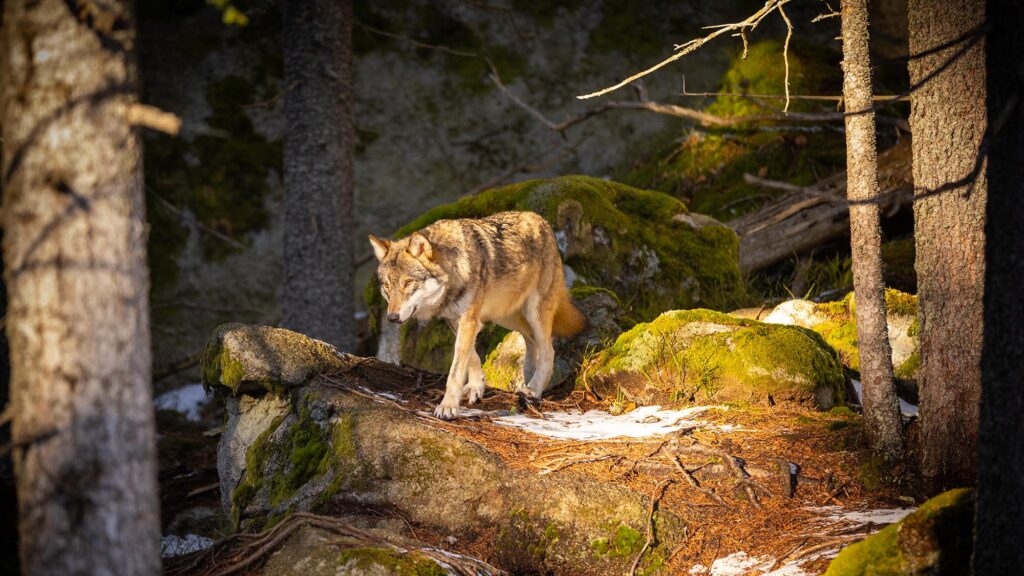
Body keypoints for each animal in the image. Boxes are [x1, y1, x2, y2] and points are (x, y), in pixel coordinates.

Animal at [370, 211, 586, 419]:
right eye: (387, 286)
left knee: (549, 351)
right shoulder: (456, 320)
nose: (392, 318)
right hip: (506, 316)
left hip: (533, 313)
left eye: (407, 283)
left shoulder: (469, 320)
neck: (453, 270)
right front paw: (476, 387)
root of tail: (543, 221)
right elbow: (472, 356)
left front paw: (448, 406)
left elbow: (456, 370)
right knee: (531, 341)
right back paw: (526, 379)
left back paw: (533, 389)